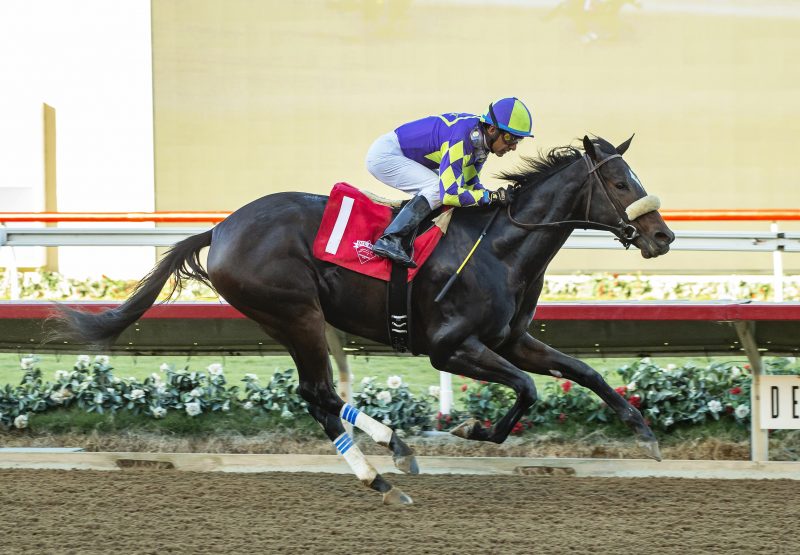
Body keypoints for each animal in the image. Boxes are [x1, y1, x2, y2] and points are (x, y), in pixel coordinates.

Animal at [51, 135, 676, 504]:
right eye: (620, 182)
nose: (662, 237)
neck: (502, 247)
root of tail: (222, 228)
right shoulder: (449, 346)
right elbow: (527, 390)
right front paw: (470, 430)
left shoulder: (511, 339)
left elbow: (582, 372)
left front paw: (643, 431)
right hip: (295, 312)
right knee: (318, 393)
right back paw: (389, 455)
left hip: (288, 319)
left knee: (319, 397)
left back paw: (383, 466)